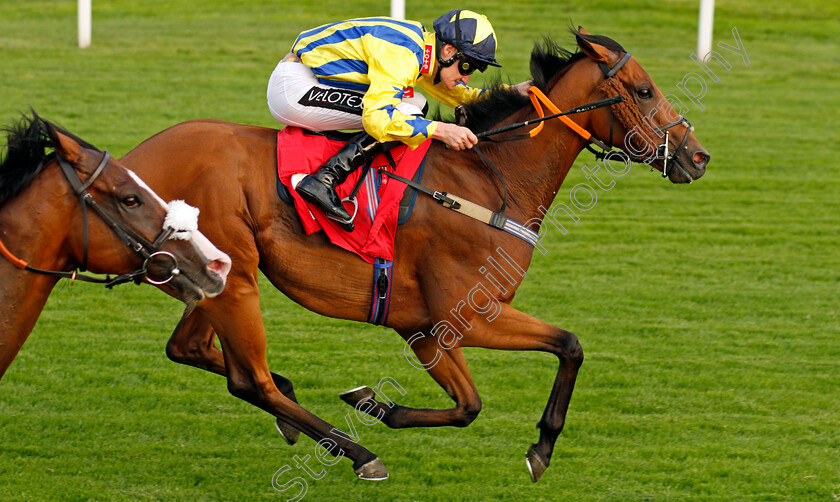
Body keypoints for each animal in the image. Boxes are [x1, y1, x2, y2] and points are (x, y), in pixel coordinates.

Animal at [118, 28, 708, 482]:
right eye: (644, 90)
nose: (698, 157)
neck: (490, 180)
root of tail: (134, 161)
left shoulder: (424, 327)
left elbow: (471, 404)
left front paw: (372, 402)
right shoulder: (467, 314)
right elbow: (568, 345)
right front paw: (541, 448)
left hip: (219, 276)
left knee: (191, 350)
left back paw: (298, 413)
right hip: (238, 276)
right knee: (249, 379)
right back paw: (357, 453)